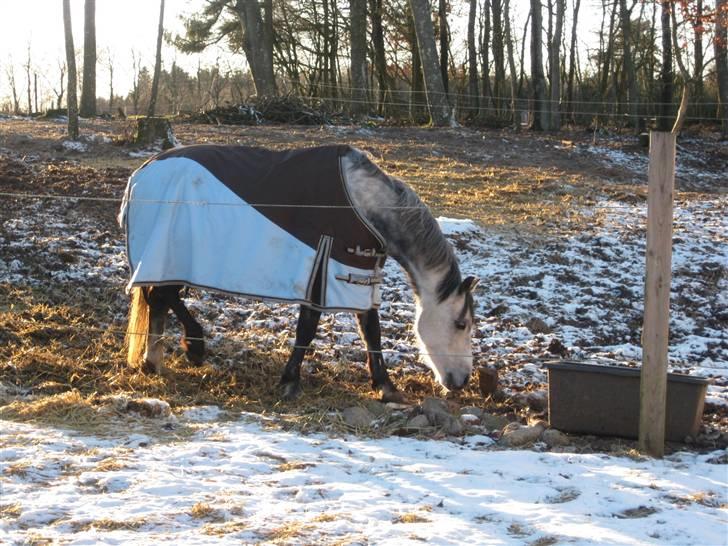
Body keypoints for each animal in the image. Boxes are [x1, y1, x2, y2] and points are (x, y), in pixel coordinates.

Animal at [119, 144, 478, 403]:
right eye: (461, 324)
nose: (462, 381)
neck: (363, 205)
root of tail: (141, 173)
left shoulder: (358, 277)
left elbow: (370, 332)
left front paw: (385, 386)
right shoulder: (324, 271)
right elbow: (309, 329)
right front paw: (290, 381)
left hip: (170, 261)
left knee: (160, 299)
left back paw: (156, 360)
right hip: (168, 255)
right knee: (163, 297)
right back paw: (192, 346)